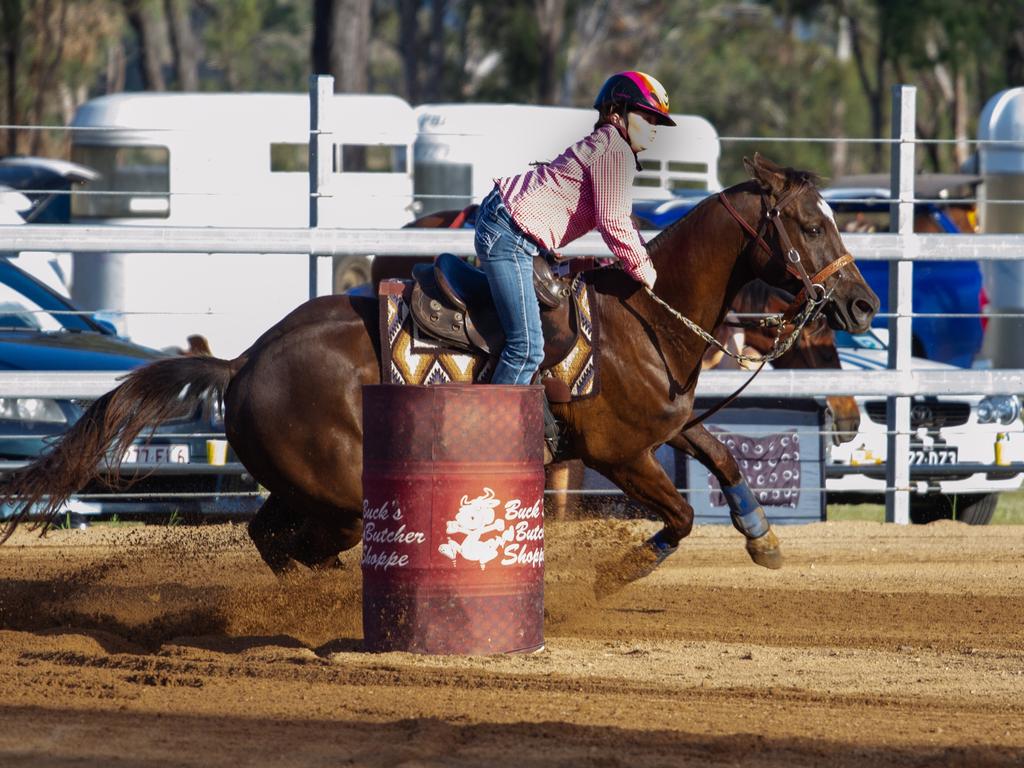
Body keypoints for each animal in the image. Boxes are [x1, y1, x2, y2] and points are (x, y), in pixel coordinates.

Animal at [2, 154, 880, 589]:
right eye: (810, 223)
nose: (865, 303)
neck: (644, 321)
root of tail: (244, 360)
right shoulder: (619, 453)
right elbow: (682, 516)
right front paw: (618, 571)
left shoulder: (668, 428)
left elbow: (726, 458)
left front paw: (764, 540)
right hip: (340, 495)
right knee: (305, 545)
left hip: (301, 489)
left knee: (271, 538)